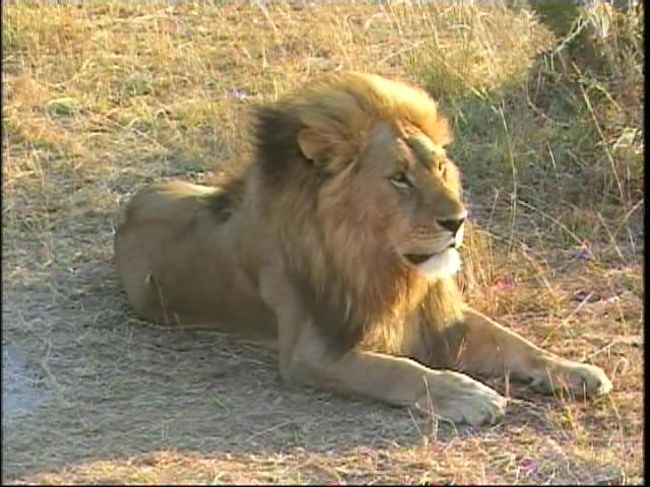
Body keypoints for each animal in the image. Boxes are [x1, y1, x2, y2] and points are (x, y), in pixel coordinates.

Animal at [114, 70, 612, 426]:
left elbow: (516, 342)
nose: (458, 220)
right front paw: (465, 393)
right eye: (399, 178)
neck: (383, 263)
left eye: (440, 167)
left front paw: (575, 370)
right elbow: (399, 370)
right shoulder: (311, 351)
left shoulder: (442, 321)